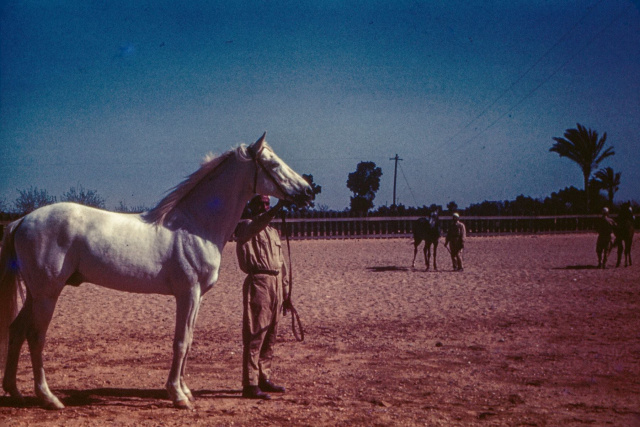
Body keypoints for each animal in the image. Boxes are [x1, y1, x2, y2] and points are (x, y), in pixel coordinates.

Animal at [0, 134, 312, 412]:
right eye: (273, 164)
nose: (308, 190)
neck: (194, 225)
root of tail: (22, 220)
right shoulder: (187, 293)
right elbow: (181, 341)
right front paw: (178, 396)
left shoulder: (197, 297)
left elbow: (189, 340)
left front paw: (184, 390)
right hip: (47, 294)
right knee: (35, 337)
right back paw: (49, 399)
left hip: (36, 294)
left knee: (16, 330)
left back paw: (15, 392)